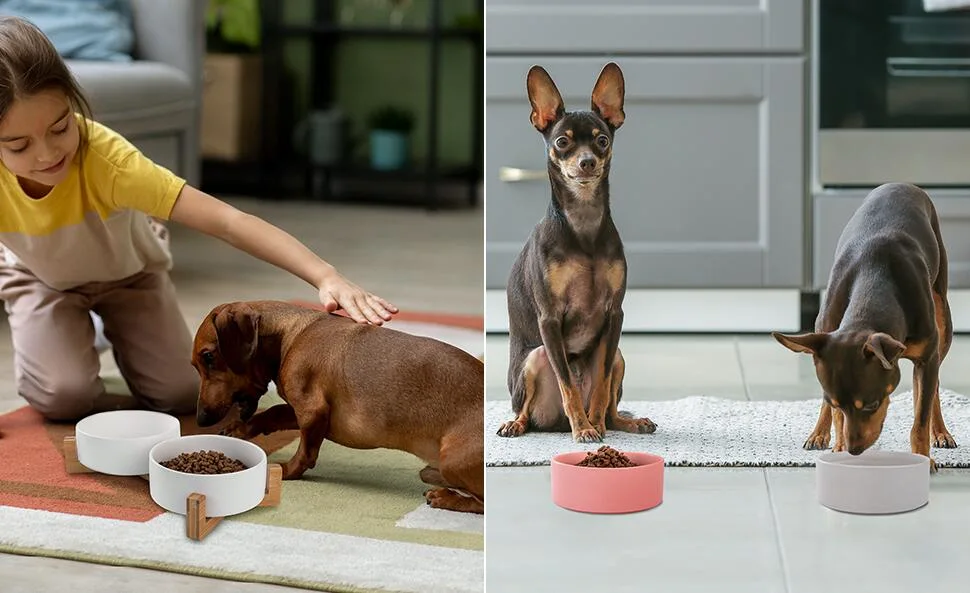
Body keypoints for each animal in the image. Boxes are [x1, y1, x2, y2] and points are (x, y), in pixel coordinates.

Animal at [193, 300, 484, 512]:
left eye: (208, 357)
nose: (201, 419)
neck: (292, 335)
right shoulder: (301, 410)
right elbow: (272, 413)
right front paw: (238, 429)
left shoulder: (312, 411)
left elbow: (305, 453)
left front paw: (285, 471)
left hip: (452, 460)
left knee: (480, 504)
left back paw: (448, 497)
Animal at [492, 62, 656, 442]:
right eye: (562, 142)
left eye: (602, 140)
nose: (586, 162)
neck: (583, 225)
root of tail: (552, 426)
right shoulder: (549, 319)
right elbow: (568, 386)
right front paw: (582, 428)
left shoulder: (614, 316)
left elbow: (600, 386)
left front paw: (593, 424)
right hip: (535, 357)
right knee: (529, 409)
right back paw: (517, 424)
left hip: (618, 353)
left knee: (611, 404)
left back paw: (625, 422)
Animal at [772, 183, 952, 470]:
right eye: (837, 402)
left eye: (872, 404)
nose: (854, 451)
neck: (875, 280)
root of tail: (900, 184)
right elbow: (836, 416)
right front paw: (837, 447)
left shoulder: (927, 358)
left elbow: (920, 420)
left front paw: (923, 460)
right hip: (820, 329)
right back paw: (818, 434)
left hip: (942, 315)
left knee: (931, 388)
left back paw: (941, 432)